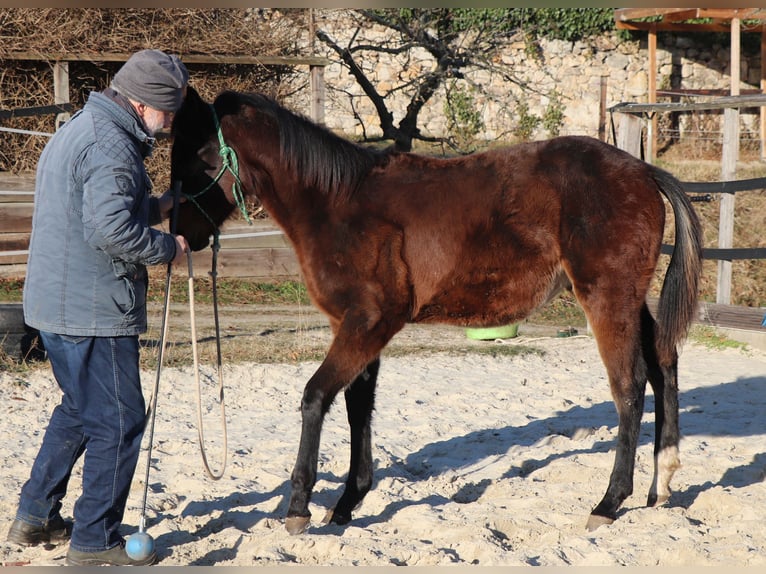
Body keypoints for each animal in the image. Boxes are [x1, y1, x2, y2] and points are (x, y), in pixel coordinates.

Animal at [170, 86, 703, 535]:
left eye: (201, 158)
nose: (180, 236)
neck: (337, 203)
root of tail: (644, 172)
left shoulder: (368, 323)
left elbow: (315, 397)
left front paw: (299, 508)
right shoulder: (361, 329)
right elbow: (358, 407)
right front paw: (346, 505)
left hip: (606, 297)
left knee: (630, 386)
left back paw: (609, 502)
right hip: (628, 299)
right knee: (665, 364)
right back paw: (662, 483)